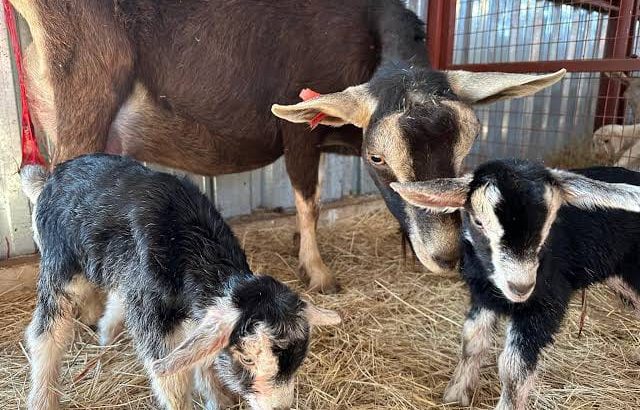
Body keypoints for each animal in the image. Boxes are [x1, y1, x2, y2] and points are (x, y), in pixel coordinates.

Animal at [21, 154, 341, 410]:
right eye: (247, 359)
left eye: (299, 356)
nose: (279, 408)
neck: (187, 244)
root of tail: (50, 177)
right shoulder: (154, 318)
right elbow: (171, 378)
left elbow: (200, 356)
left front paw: (219, 399)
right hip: (60, 267)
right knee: (46, 333)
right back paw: (43, 398)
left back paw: (105, 333)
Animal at [391, 159, 640, 409]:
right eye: (478, 222)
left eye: (549, 224)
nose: (521, 287)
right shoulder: (482, 295)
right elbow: (472, 341)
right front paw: (456, 393)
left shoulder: (545, 304)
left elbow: (514, 368)